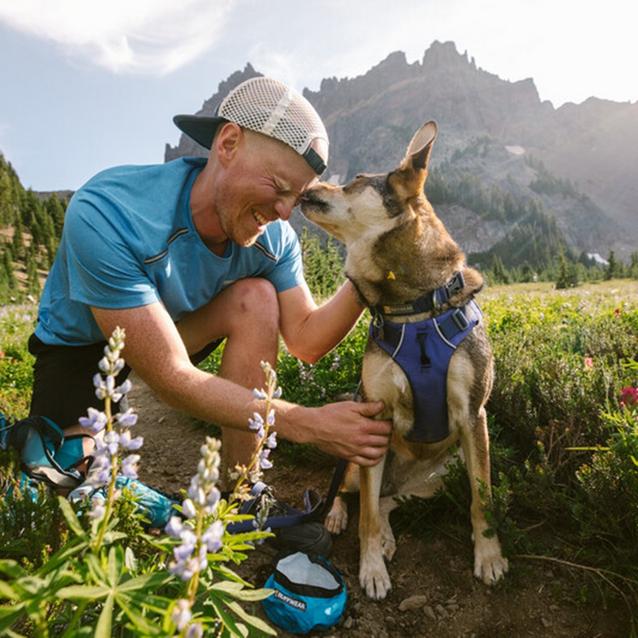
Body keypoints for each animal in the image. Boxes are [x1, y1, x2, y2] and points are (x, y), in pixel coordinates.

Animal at [300, 122, 510, 604]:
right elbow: (364, 518)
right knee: (352, 492)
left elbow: (482, 499)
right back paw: (338, 516)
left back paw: (389, 532)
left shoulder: (474, 414)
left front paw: (489, 557)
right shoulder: (374, 414)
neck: (414, 308)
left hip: (437, 479)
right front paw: (371, 569)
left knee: (385, 501)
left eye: (355, 180)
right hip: (359, 450)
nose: (305, 185)